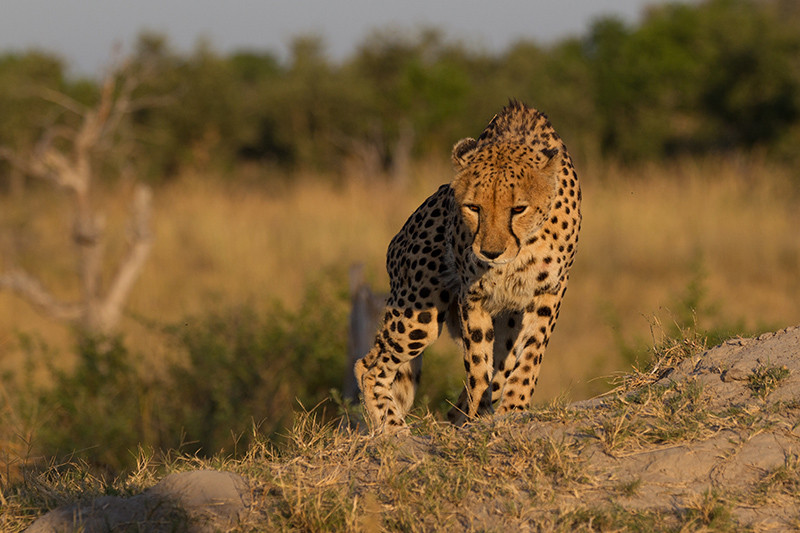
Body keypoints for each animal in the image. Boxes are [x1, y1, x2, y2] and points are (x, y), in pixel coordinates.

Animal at [354, 100, 581, 432]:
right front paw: (480, 414)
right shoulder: (472, 297)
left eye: (518, 209)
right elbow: (477, 364)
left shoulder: (549, 290)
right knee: (369, 366)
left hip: (503, 326)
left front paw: (513, 407)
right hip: (418, 314)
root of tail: (398, 237)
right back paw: (393, 428)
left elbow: (531, 352)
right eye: (474, 207)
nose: (490, 252)